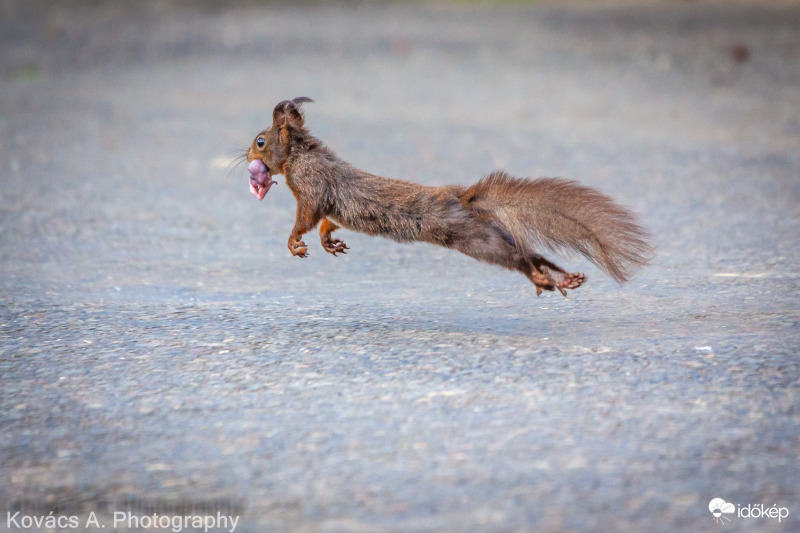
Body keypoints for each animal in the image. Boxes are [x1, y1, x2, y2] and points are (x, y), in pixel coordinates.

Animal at [247, 96, 652, 296]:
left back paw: (546, 280)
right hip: (491, 232)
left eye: (261, 141)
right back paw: (563, 277)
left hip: (474, 238)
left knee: (518, 259)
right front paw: (329, 242)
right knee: (532, 253)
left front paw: (294, 242)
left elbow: (307, 216)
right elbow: (326, 222)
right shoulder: (326, 202)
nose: (247, 155)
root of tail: (465, 198)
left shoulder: (312, 189)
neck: (303, 154)